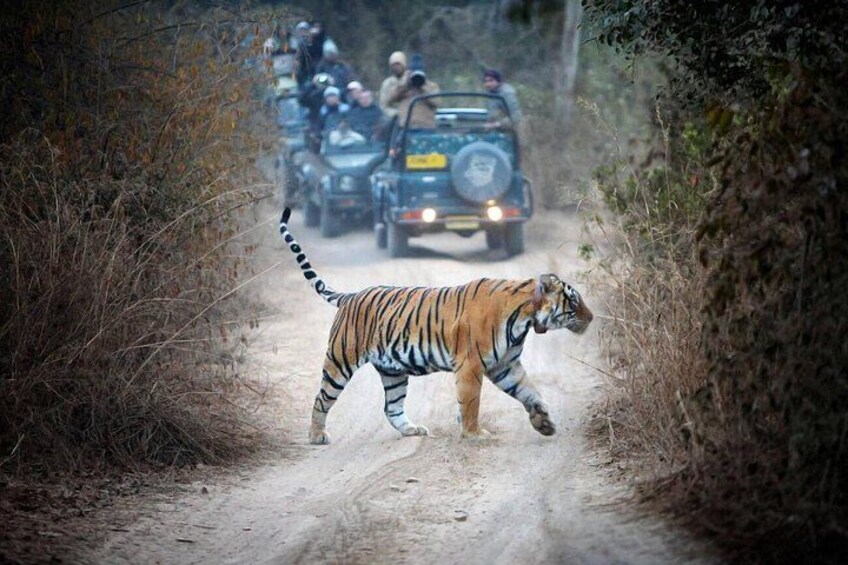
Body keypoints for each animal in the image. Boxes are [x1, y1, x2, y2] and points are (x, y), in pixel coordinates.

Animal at [279, 208, 593, 444]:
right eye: (574, 300)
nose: (591, 318)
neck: (525, 317)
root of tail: (351, 296)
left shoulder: (506, 365)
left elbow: (530, 391)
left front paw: (543, 423)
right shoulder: (471, 364)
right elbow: (471, 401)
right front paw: (474, 434)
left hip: (393, 371)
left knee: (391, 407)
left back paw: (412, 430)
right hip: (340, 361)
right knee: (321, 399)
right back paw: (316, 436)